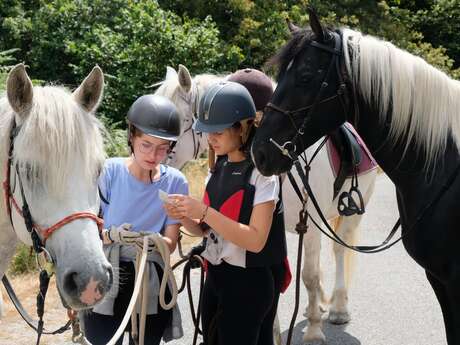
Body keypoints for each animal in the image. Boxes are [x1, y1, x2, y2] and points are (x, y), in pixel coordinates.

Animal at [155, 65, 378, 344]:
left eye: (178, 121)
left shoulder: (311, 223)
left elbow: (309, 275)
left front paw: (314, 331)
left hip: (352, 211)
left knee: (339, 250)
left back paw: (338, 308)